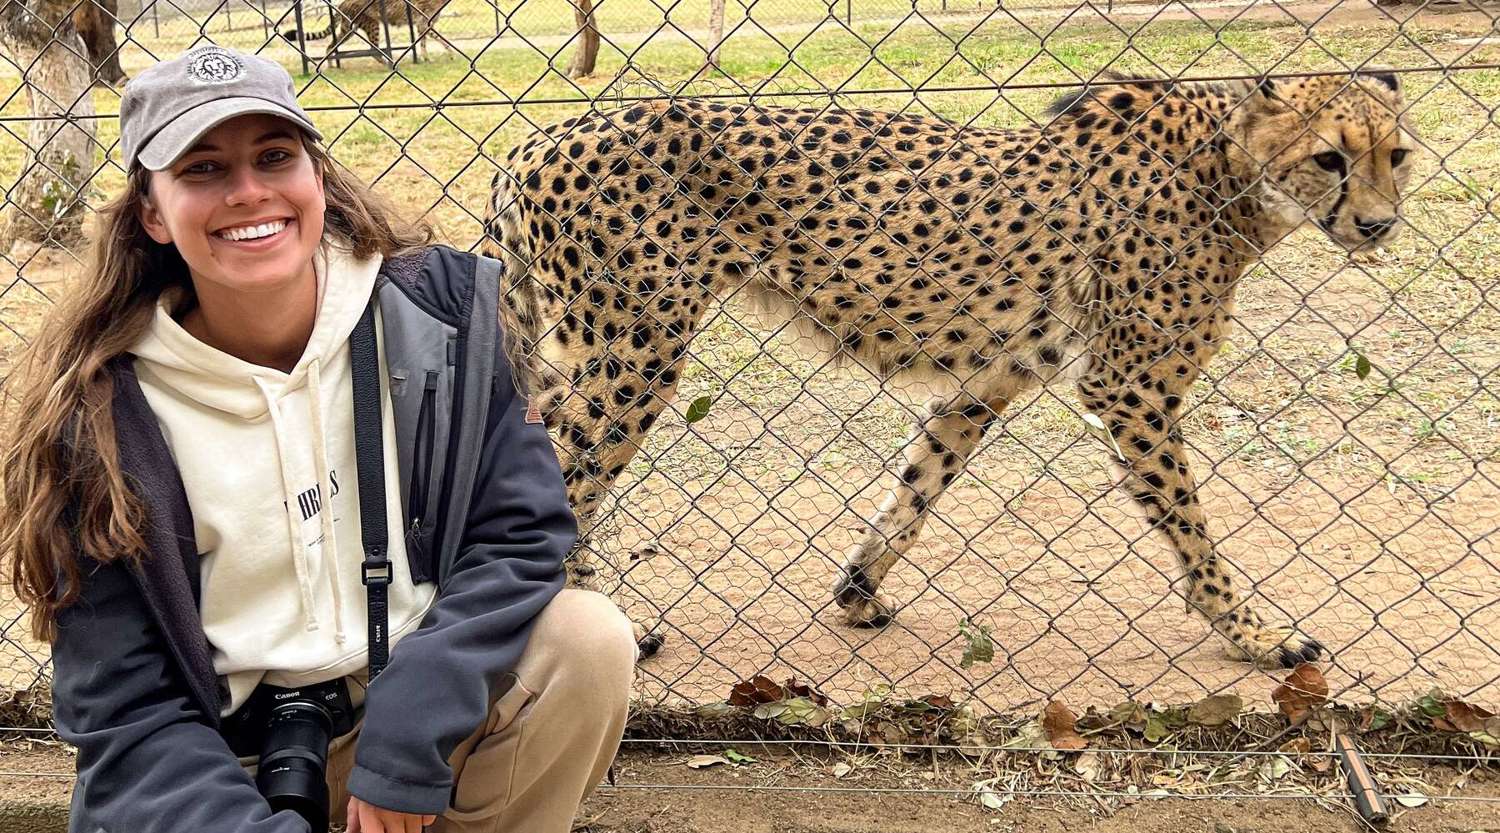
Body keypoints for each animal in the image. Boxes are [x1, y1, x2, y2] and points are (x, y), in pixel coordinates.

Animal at [483, 71, 1416, 672]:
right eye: (1331, 157)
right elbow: (1192, 524)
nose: (1377, 226)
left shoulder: (991, 375)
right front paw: (1256, 634)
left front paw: (858, 589)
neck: (1229, 171)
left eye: (1396, 155)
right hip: (634, 351)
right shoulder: (1131, 385)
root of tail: (538, 136)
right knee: (566, 475)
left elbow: (917, 487)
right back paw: (601, 628)